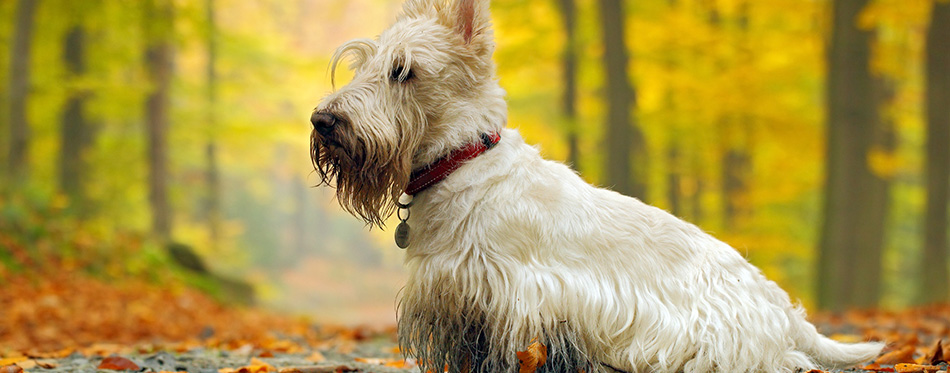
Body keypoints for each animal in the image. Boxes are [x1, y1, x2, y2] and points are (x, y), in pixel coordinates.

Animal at [312, 1, 884, 370]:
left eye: (403, 71)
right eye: (365, 63)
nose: (323, 121)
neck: (460, 163)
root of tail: (783, 310)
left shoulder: (515, 300)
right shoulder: (456, 301)